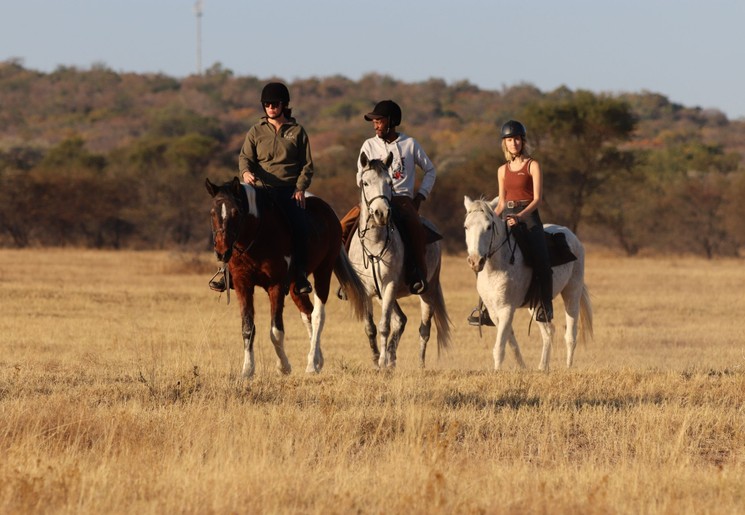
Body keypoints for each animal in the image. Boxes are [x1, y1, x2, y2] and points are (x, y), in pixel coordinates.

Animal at [206, 177, 368, 379]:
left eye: (236, 212)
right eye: (212, 212)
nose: (221, 252)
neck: (257, 235)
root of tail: (329, 211)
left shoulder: (275, 285)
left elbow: (276, 331)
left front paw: (283, 367)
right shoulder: (243, 285)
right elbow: (247, 328)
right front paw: (247, 370)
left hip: (323, 271)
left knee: (317, 315)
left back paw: (311, 365)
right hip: (295, 286)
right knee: (307, 313)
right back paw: (317, 359)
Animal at [347, 152, 452, 368]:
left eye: (389, 182)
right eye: (365, 182)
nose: (382, 213)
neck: (375, 244)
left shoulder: (389, 285)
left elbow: (384, 326)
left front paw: (382, 362)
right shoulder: (367, 290)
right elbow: (371, 327)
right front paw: (377, 360)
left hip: (428, 291)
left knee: (424, 329)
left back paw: (419, 364)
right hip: (382, 296)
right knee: (401, 320)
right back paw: (391, 359)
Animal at [463, 195, 593, 371]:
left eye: (489, 227)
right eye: (466, 226)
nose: (475, 261)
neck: (497, 265)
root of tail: (571, 235)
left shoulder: (506, 309)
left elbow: (499, 347)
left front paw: (497, 372)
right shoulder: (493, 311)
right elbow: (510, 342)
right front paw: (522, 368)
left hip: (572, 292)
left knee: (570, 334)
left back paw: (568, 367)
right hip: (536, 304)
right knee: (548, 332)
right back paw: (543, 367)